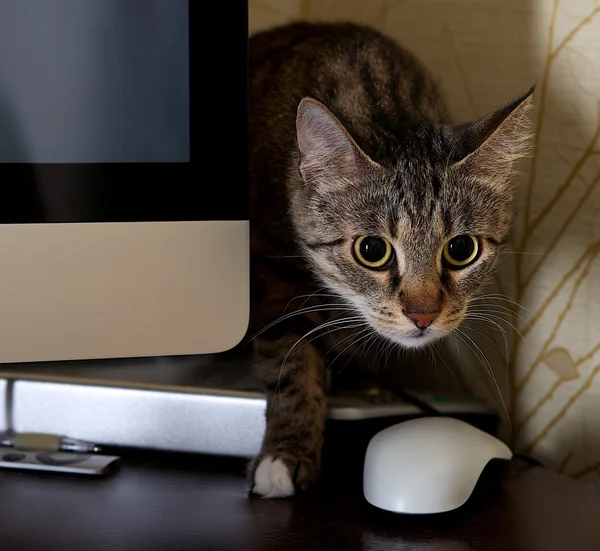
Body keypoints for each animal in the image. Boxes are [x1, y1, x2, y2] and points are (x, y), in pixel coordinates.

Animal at [246, 21, 532, 498]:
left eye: (461, 249)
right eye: (372, 250)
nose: (423, 316)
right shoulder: (269, 267)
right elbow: (291, 357)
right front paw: (284, 454)